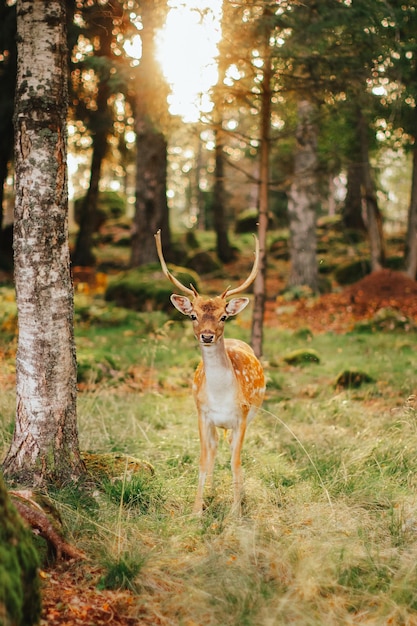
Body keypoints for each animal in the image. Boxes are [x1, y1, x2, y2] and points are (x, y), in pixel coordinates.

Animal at [154, 229, 264, 512]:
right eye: (193, 315)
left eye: (223, 316)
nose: (207, 335)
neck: (222, 396)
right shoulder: (202, 414)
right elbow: (204, 459)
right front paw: (196, 510)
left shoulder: (242, 416)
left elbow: (236, 461)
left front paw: (236, 511)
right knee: (214, 449)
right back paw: (212, 493)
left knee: (230, 450)